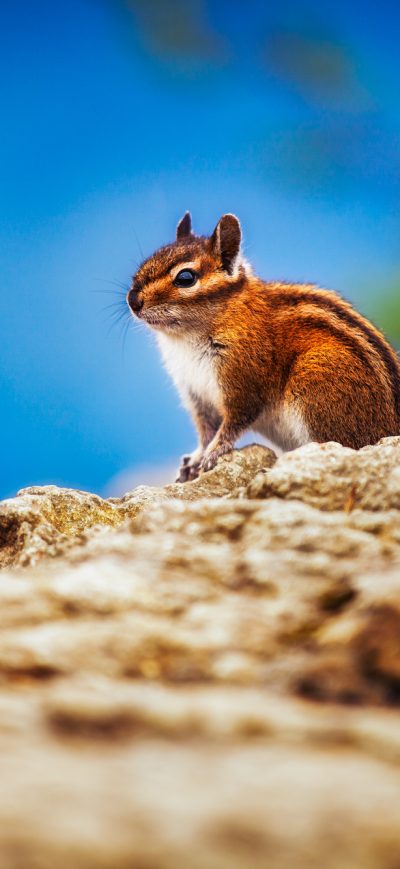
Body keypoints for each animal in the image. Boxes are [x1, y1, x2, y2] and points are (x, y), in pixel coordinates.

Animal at [127, 212, 400, 482]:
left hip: (317, 380)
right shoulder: (197, 397)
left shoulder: (244, 385)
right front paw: (194, 460)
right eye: (148, 261)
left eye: (185, 278)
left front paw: (212, 454)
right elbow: (205, 432)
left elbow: (232, 425)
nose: (133, 300)